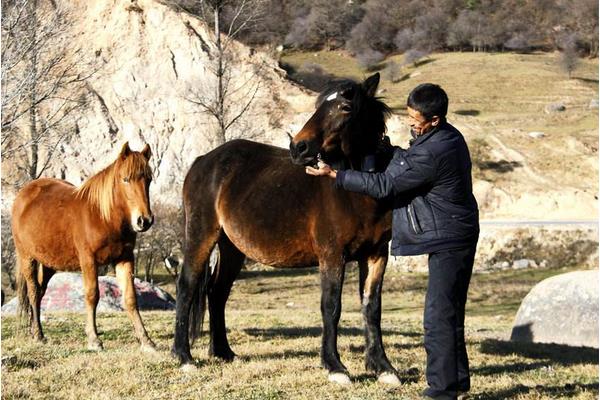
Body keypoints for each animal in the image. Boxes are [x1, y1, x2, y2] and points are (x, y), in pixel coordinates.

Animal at [12, 142, 157, 352]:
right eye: (126, 179)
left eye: (149, 179)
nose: (144, 220)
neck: (104, 216)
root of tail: (24, 195)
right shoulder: (89, 260)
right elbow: (92, 295)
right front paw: (94, 339)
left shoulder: (125, 259)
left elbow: (130, 298)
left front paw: (146, 340)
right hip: (27, 258)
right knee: (33, 292)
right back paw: (38, 334)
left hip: (48, 264)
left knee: (40, 292)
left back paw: (34, 331)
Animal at [172, 72, 398, 384]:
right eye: (319, 105)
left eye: (345, 107)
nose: (298, 147)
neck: (357, 191)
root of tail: (203, 161)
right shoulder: (332, 256)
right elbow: (331, 306)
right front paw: (335, 366)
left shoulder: (376, 255)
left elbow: (372, 308)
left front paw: (383, 367)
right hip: (201, 236)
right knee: (187, 286)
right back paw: (184, 357)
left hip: (232, 248)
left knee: (217, 293)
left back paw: (224, 352)